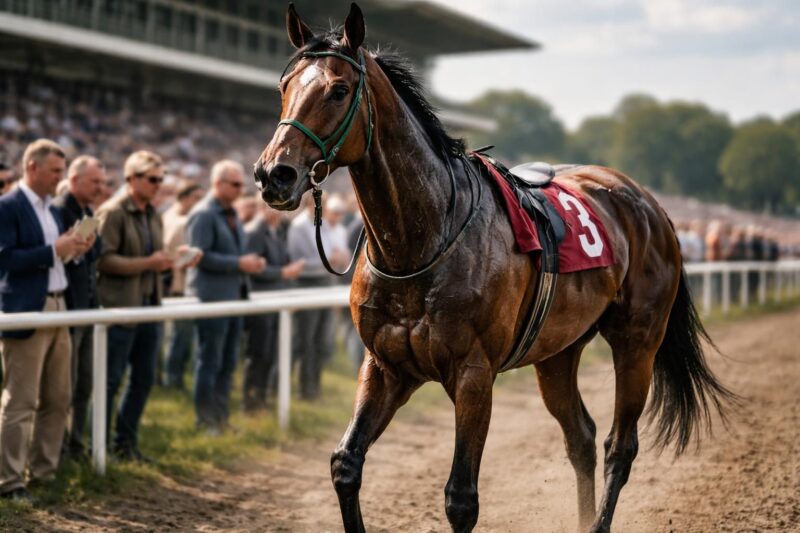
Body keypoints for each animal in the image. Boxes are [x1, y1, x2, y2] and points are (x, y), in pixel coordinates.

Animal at [253, 4, 735, 532]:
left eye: (338, 90)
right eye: (284, 86)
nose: (273, 173)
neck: (423, 241)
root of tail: (650, 204)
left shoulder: (473, 373)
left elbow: (461, 498)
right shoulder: (385, 366)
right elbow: (346, 464)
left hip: (638, 341)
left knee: (619, 446)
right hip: (557, 351)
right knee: (581, 436)